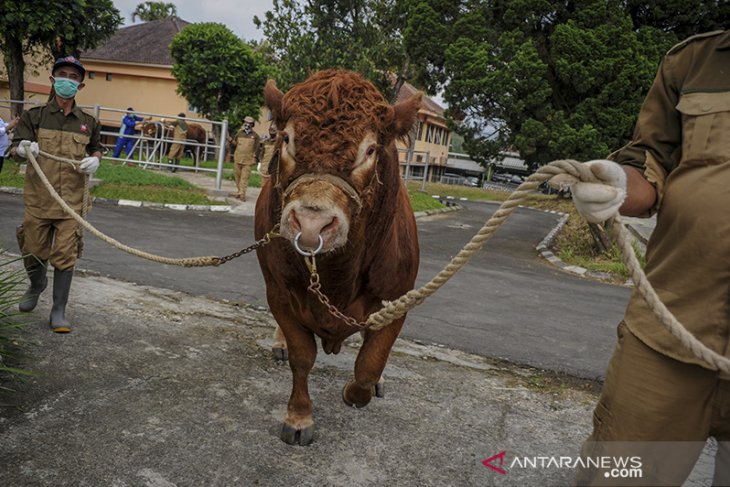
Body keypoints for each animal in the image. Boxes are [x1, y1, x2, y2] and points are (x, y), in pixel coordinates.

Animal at [255, 70, 420, 448]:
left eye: (370, 149)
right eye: (286, 138)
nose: (311, 224)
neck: (336, 275)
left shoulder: (399, 296)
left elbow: (369, 365)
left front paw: (357, 391)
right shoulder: (279, 290)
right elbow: (302, 356)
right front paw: (299, 417)